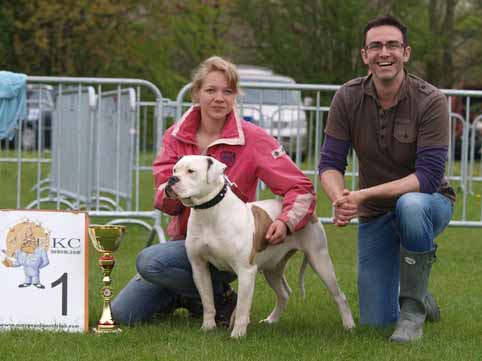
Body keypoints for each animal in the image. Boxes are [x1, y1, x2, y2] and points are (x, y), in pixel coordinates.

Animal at [166, 155, 354, 338]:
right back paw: (272, 320)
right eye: (174, 170)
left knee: (340, 296)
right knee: (284, 293)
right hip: (272, 268)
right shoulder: (199, 268)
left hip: (320, 260)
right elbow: (208, 301)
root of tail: (311, 214)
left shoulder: (246, 271)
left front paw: (238, 334)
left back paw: (349, 325)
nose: (171, 179)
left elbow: (242, 307)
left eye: (191, 171)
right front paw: (208, 327)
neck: (209, 212)